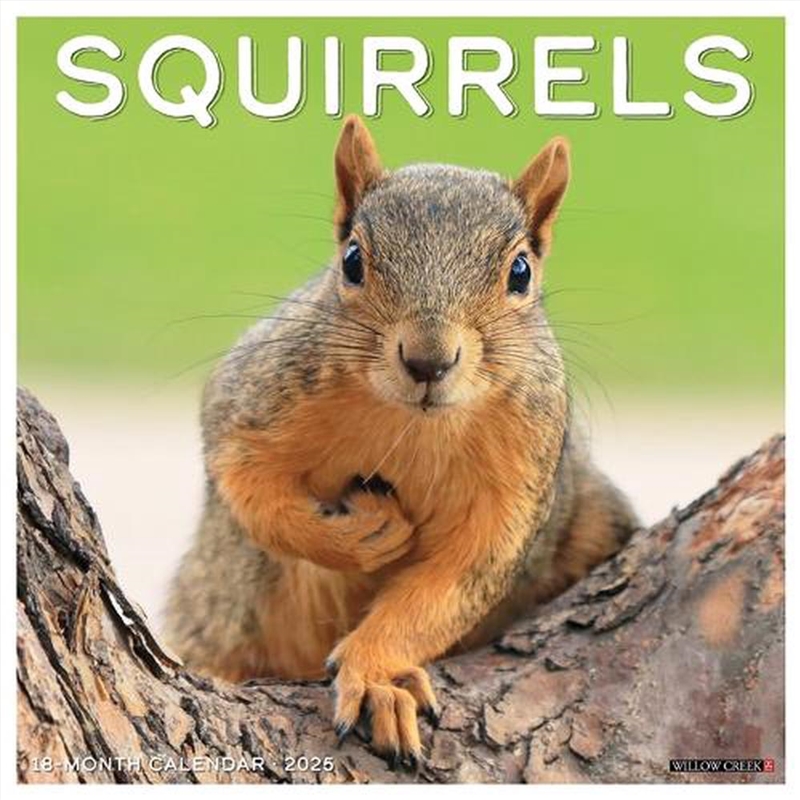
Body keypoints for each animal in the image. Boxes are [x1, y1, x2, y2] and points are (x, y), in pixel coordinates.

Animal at [164, 115, 638, 769]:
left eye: (520, 272)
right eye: (352, 261)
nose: (428, 361)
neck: (413, 426)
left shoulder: (520, 480)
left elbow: (450, 586)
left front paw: (378, 677)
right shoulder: (252, 399)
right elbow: (249, 489)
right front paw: (359, 536)